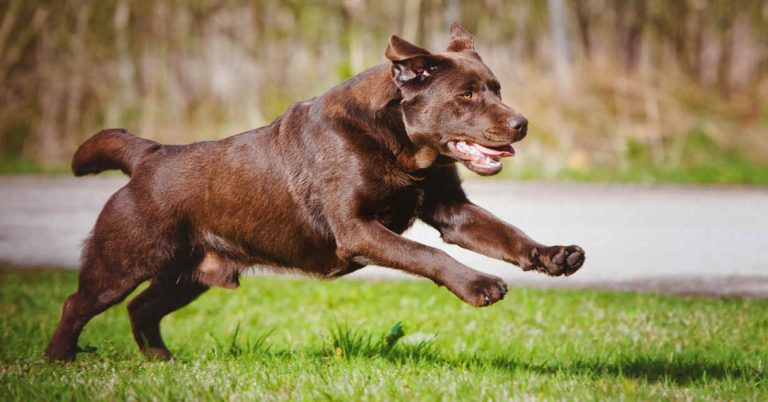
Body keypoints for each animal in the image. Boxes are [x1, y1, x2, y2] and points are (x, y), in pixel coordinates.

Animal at [45, 22, 584, 362]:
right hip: (124, 258)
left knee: (142, 308)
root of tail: (148, 155)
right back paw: (59, 360)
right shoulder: (357, 229)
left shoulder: (452, 211)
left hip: (189, 273)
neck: (398, 144)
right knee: (79, 304)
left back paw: (160, 359)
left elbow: (506, 234)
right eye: (467, 95)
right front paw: (478, 285)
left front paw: (555, 255)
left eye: (497, 88)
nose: (522, 123)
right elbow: (427, 255)